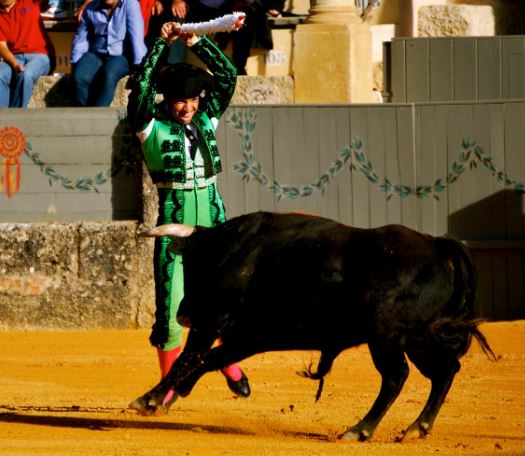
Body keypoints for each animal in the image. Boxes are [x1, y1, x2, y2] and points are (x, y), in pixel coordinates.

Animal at [129, 210, 494, 442]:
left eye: (193, 264)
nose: (183, 314)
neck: (233, 249)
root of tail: (439, 245)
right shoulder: (249, 337)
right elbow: (209, 359)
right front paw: (172, 396)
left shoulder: (213, 321)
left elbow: (189, 358)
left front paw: (149, 400)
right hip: (418, 337)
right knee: (445, 370)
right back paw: (417, 428)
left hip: (387, 336)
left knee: (395, 376)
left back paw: (359, 430)